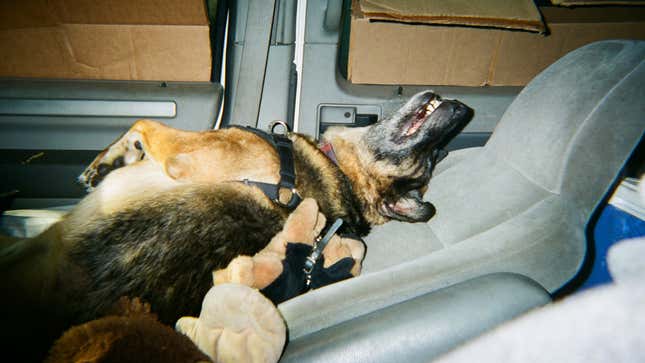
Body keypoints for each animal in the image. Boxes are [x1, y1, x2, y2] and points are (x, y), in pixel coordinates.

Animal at [0, 90, 468, 358]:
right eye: (429, 159)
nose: (461, 109)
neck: (340, 175)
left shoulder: (184, 155)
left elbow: (142, 123)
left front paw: (107, 158)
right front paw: (110, 160)